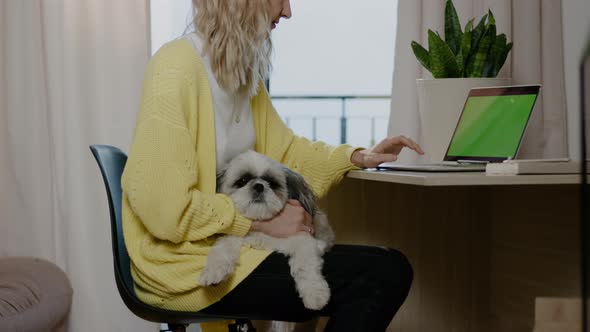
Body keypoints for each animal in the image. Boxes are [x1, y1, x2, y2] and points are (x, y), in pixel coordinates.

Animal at [200, 150, 336, 312]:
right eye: (243, 180)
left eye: (272, 183)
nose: (259, 186)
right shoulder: (233, 237)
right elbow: (221, 249)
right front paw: (214, 271)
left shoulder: (305, 241)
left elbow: (306, 265)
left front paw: (315, 294)